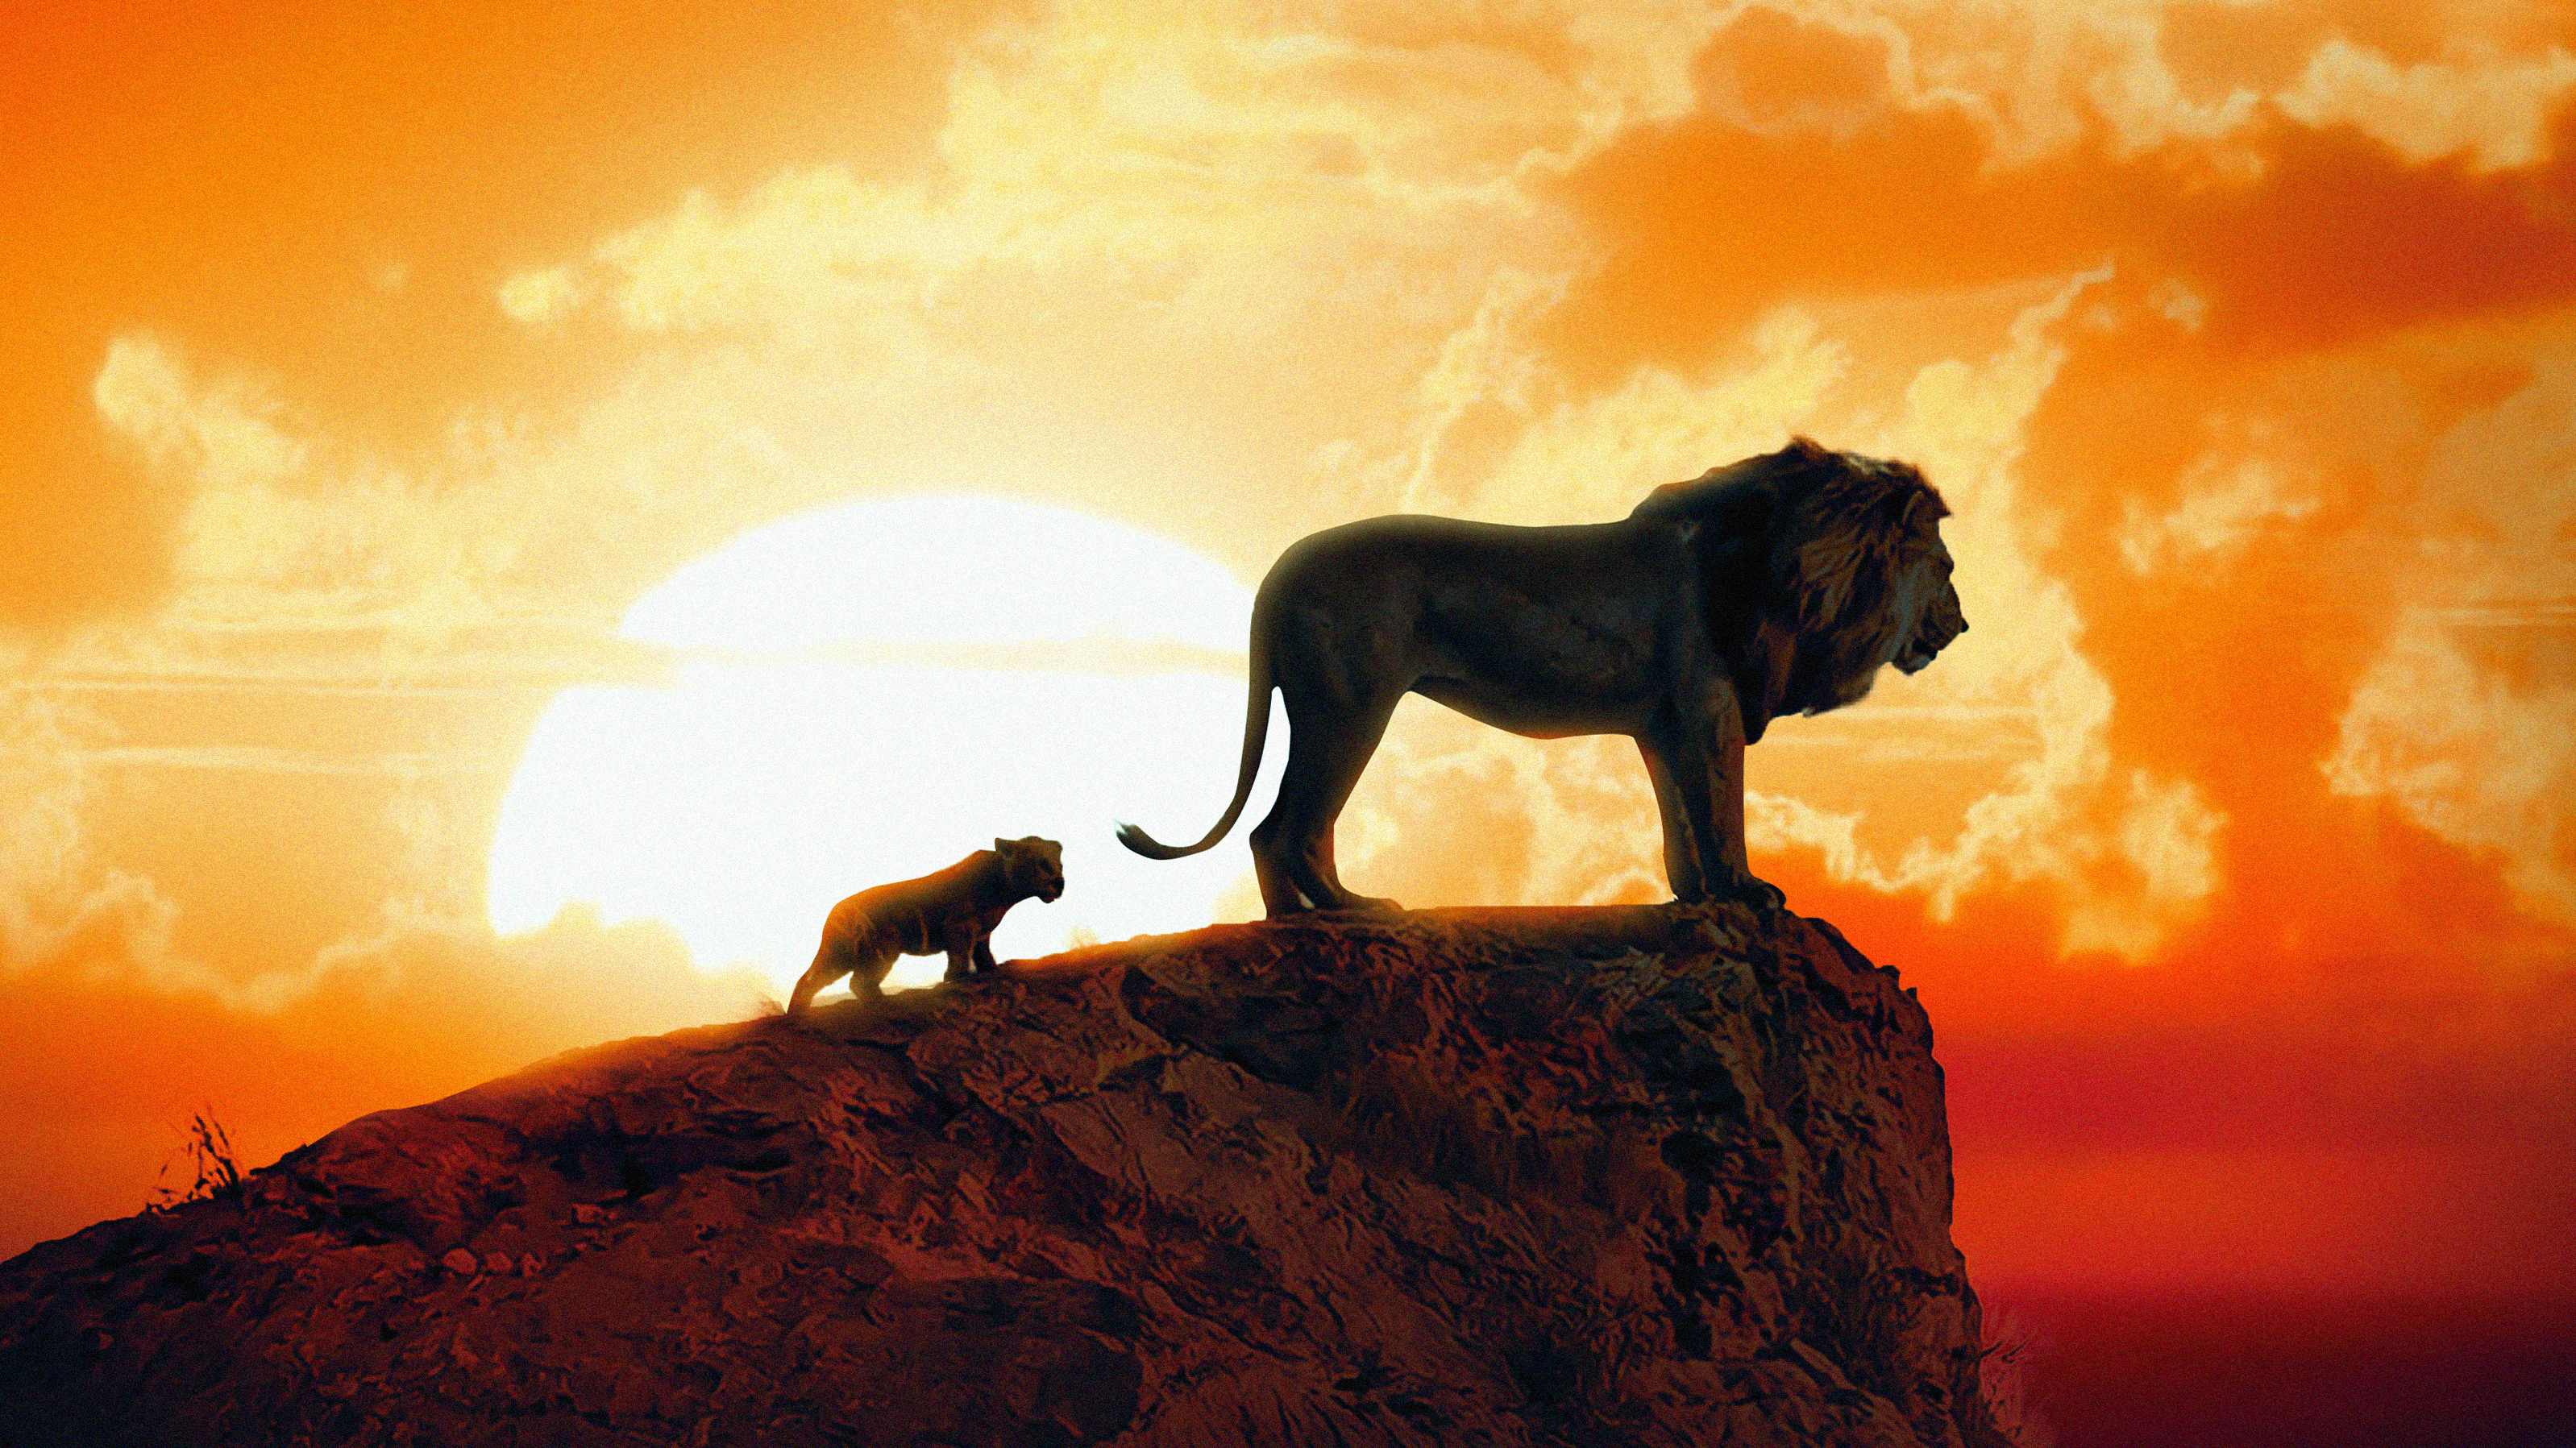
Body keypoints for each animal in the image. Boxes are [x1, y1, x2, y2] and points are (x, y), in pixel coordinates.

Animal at [786, 836, 1065, 1016]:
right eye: (1043, 864)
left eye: (1061, 864)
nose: (1061, 883)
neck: (1002, 885)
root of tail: (833, 914)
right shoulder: (960, 929)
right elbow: (960, 957)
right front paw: (957, 980)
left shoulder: (982, 934)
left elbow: (983, 955)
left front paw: (992, 971)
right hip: (879, 953)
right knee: (857, 983)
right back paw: (887, 1003)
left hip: (842, 956)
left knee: (809, 980)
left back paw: (797, 1015)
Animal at [1116, 438, 1965, 915]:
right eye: (1947, 567)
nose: (1960, 626)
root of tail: (1275, 573)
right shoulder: (1709, 711)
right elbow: (1721, 811)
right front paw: (1749, 894)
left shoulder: (1665, 726)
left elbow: (1679, 818)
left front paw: (1695, 894)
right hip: (1350, 706)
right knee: (1290, 827)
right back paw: (1352, 911)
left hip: (1326, 709)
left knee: (1275, 829)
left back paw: (1299, 920)